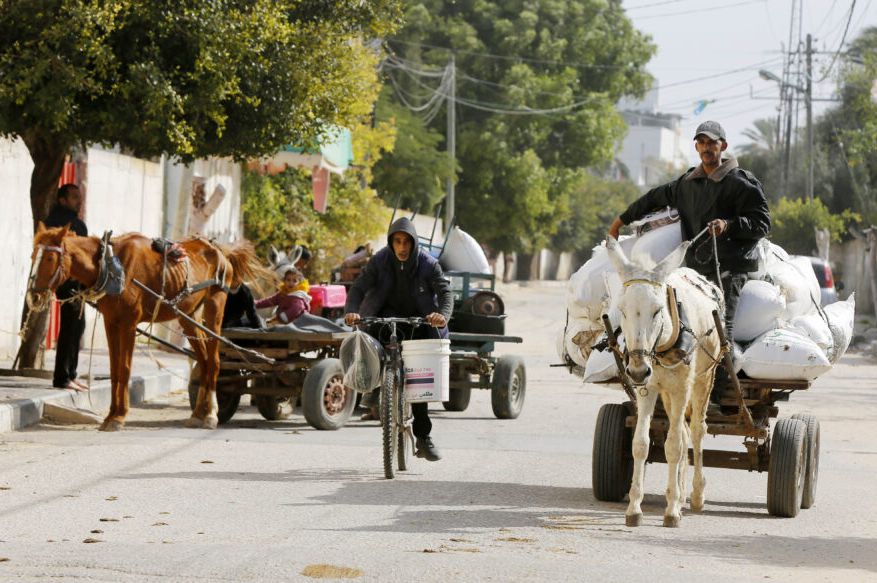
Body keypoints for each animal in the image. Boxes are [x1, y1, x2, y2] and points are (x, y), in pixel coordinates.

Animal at [29, 226, 266, 432]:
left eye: (49, 258)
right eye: (32, 256)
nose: (34, 296)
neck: (112, 265)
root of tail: (219, 250)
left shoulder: (128, 324)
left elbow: (124, 368)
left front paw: (119, 417)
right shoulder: (111, 322)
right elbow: (115, 370)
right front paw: (110, 416)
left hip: (215, 306)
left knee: (215, 361)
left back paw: (210, 415)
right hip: (189, 317)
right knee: (205, 361)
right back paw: (198, 413)